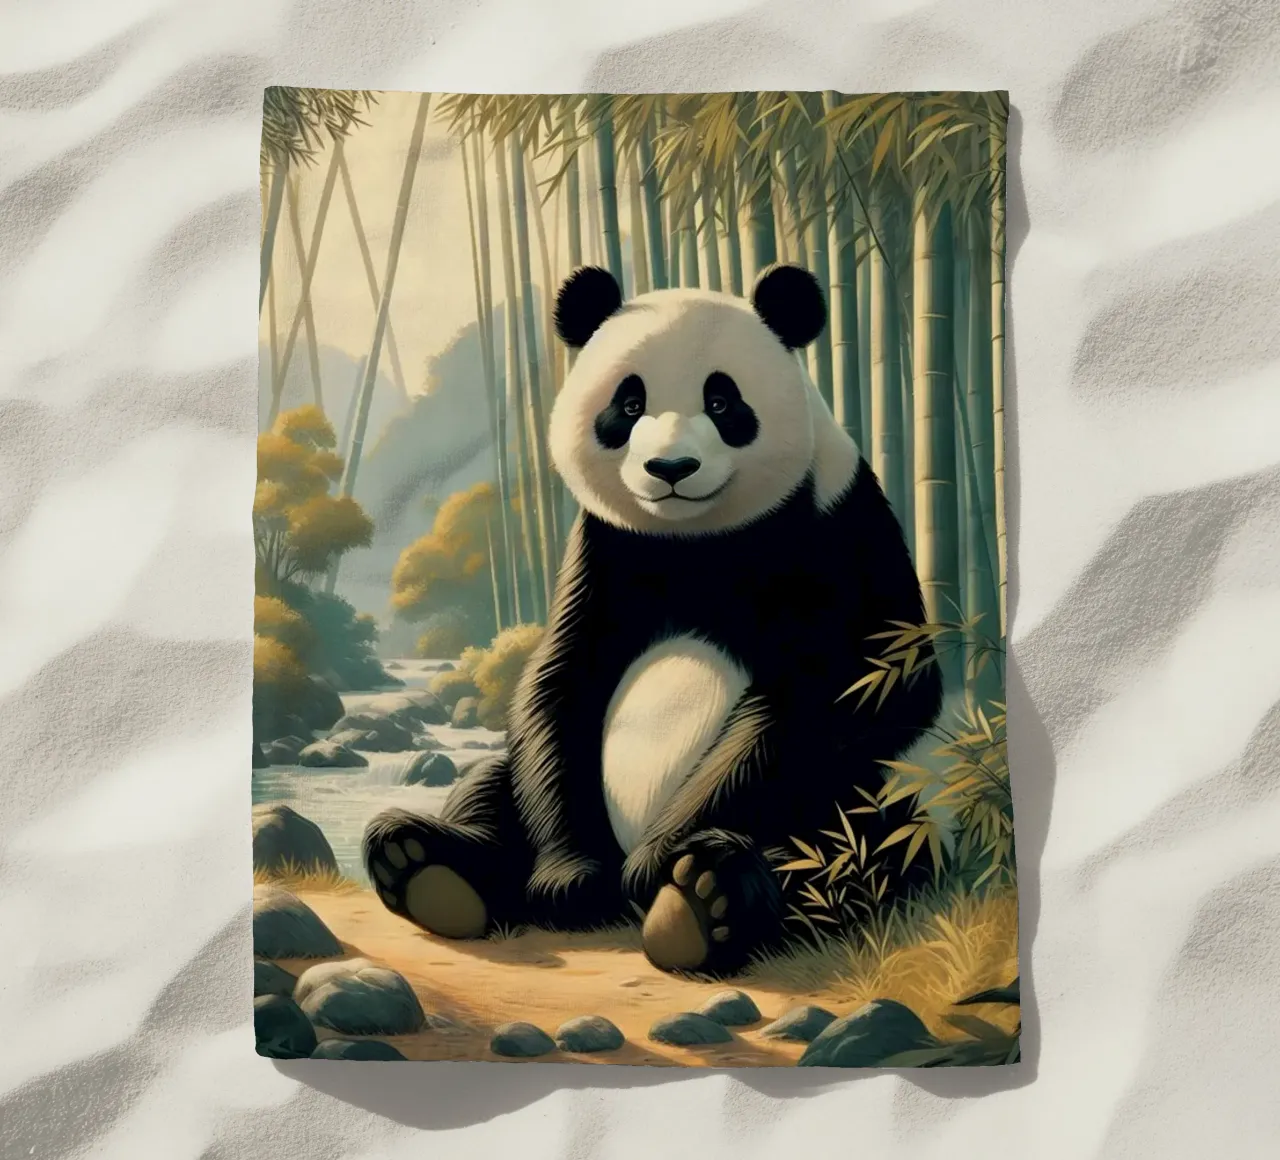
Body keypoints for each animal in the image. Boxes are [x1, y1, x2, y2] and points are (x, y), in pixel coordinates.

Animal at [363, 263, 943, 978]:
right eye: (629, 404)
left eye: (722, 403)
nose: (670, 468)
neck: (697, 539)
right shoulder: (606, 551)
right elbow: (558, 683)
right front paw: (571, 877)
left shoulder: (840, 529)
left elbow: (863, 684)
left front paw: (656, 863)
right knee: (490, 785)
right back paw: (428, 865)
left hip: (853, 807)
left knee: (854, 847)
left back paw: (702, 897)